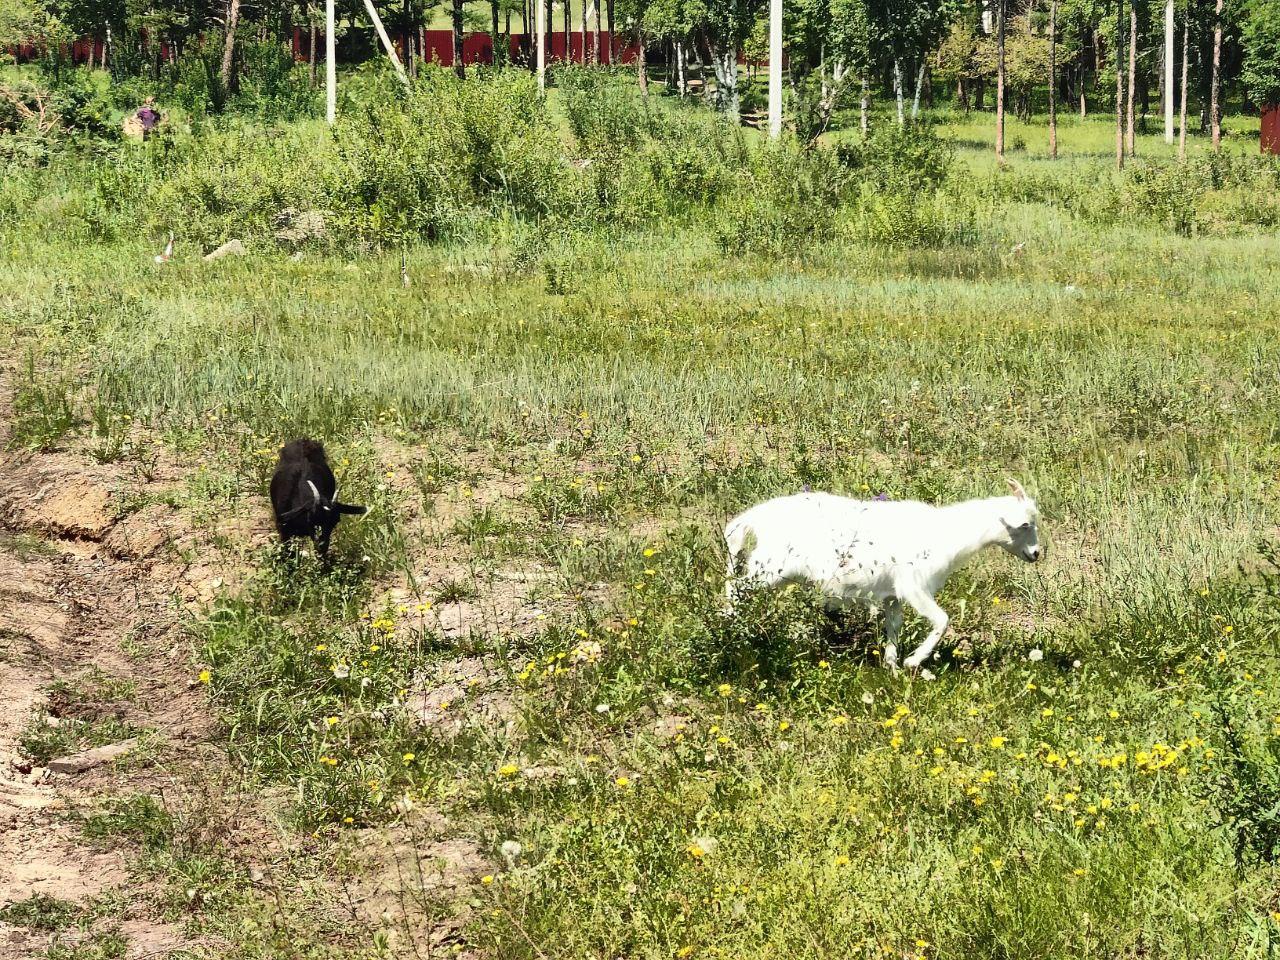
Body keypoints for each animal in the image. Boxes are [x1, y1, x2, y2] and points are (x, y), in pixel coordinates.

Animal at [721, 478, 1039, 670]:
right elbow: (942, 620)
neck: (946, 535)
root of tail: (755, 518)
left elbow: (894, 626)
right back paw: (729, 627)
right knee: (735, 587)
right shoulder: (914, 586)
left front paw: (892, 666)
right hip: (769, 566)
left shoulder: (892, 595)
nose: (1036, 554)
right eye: (1025, 524)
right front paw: (912, 662)